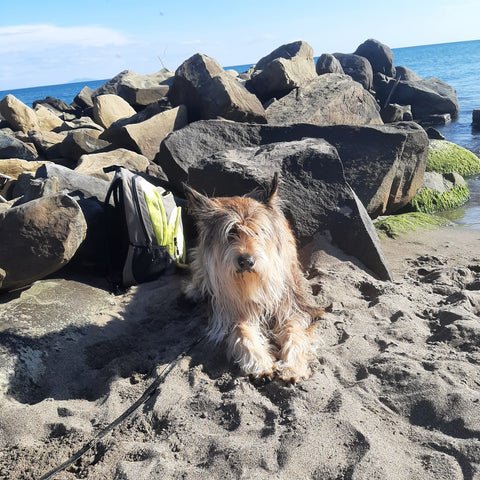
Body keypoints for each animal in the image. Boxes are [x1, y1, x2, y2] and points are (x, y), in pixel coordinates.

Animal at [183, 174, 322, 384]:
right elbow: (242, 330)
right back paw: (194, 290)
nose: (246, 261)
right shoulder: (230, 309)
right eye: (230, 233)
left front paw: (293, 366)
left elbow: (295, 331)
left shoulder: (293, 305)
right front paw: (260, 362)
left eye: (259, 231)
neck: (251, 281)